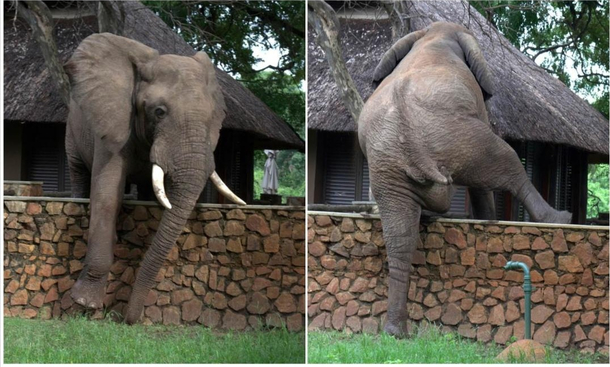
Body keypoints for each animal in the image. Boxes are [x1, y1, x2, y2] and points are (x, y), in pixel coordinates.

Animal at [65, 32, 246, 324]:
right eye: (159, 112)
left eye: (212, 118)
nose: (126, 319)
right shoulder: (114, 122)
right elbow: (106, 195)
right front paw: (85, 303)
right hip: (72, 126)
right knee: (78, 171)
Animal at [356, 21, 568, 338]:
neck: (434, 35)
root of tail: (408, 128)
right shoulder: (478, 105)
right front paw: (489, 220)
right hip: (463, 137)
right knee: (507, 161)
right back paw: (559, 218)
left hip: (388, 165)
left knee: (400, 237)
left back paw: (396, 332)